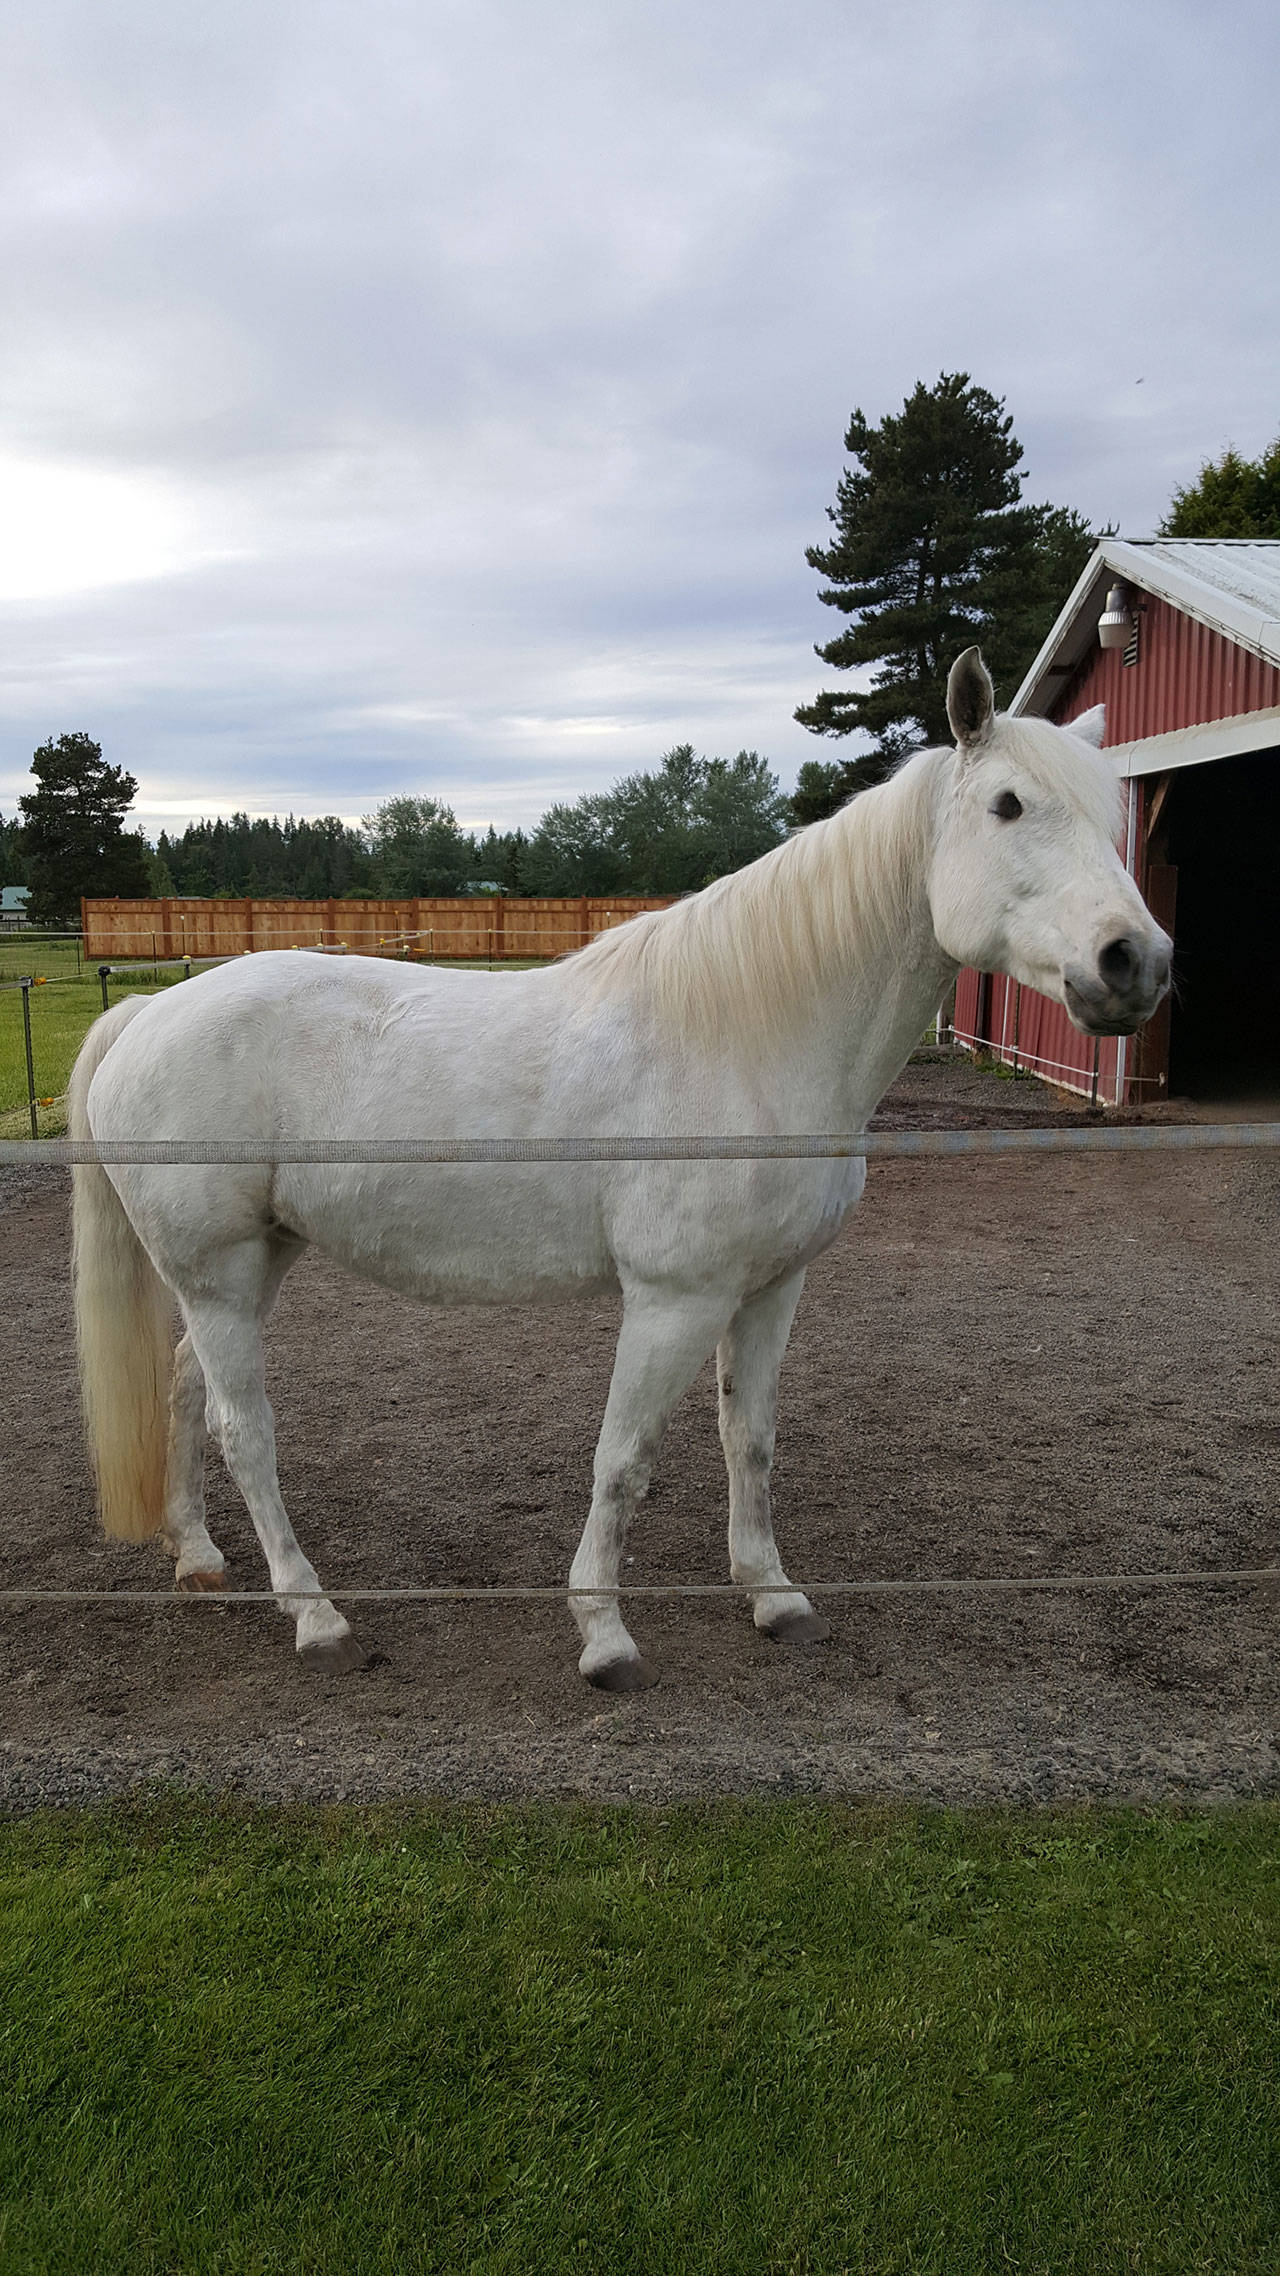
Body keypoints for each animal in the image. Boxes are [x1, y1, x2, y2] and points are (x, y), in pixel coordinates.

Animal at [68, 650, 1171, 1689]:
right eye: (1008, 804)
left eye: (1111, 812)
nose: (1137, 963)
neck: (749, 1036)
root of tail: (147, 1012)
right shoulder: (673, 1299)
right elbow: (624, 1458)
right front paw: (603, 1635)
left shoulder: (769, 1288)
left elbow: (749, 1438)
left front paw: (772, 1596)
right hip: (220, 1274)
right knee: (242, 1428)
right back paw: (315, 1613)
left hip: (254, 1263)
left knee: (181, 1389)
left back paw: (198, 1557)